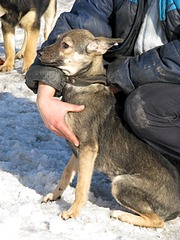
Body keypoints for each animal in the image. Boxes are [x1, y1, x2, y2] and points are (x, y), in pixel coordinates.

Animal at [35, 29, 179, 228]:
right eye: (56, 40)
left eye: (65, 45)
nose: (38, 52)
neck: (82, 85)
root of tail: (176, 206)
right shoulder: (77, 149)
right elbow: (66, 174)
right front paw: (55, 195)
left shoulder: (88, 149)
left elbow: (81, 187)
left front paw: (73, 212)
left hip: (120, 184)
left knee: (157, 221)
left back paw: (122, 215)